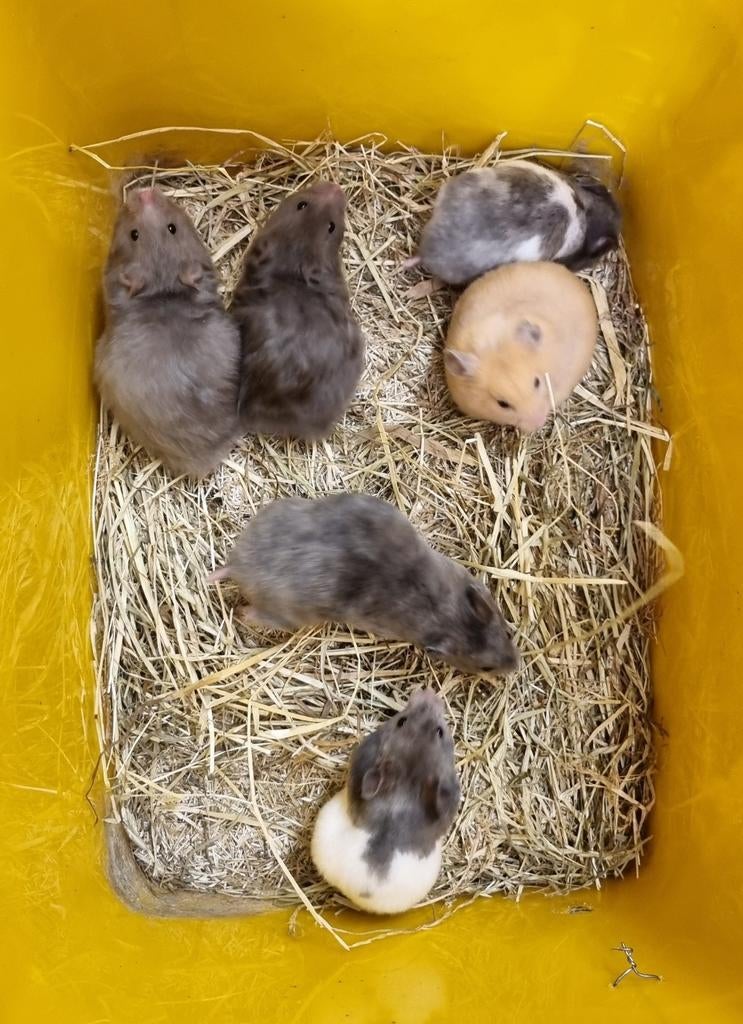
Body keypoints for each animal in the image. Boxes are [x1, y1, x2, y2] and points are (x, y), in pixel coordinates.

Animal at [209, 493, 519, 675]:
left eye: (507, 634)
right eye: (486, 667)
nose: (516, 669)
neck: (446, 612)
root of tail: (240, 565)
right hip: (287, 614)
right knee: (251, 614)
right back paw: (242, 612)